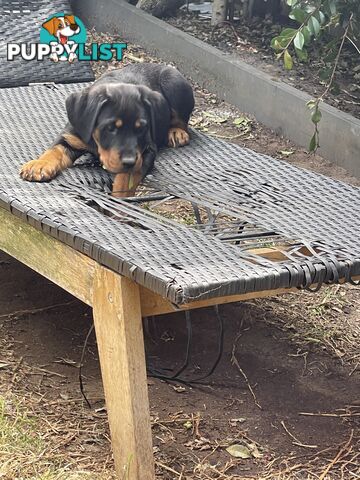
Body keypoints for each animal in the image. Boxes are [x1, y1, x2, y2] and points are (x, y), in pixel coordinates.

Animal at [19, 63, 194, 197]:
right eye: (110, 128)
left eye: (141, 129)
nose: (129, 160)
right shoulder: (70, 137)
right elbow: (54, 150)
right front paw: (39, 165)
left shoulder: (146, 150)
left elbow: (128, 176)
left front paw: (120, 199)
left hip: (173, 82)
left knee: (181, 120)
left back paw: (176, 132)